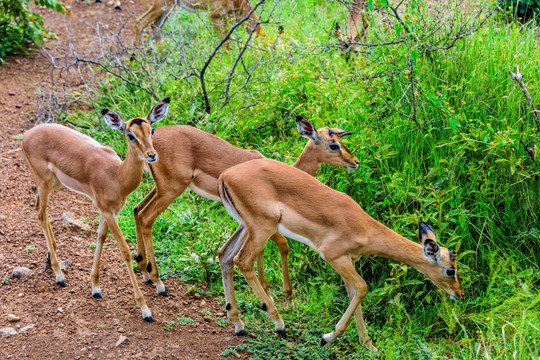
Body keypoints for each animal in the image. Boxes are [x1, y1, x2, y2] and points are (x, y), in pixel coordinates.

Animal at [22, 97, 170, 322]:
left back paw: (50, 256)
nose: (152, 155)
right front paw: (145, 310)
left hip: (55, 183)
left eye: (151, 130)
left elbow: (100, 238)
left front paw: (96, 288)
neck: (116, 175)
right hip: (45, 181)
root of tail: (27, 134)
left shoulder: (108, 211)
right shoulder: (108, 212)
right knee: (40, 213)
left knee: (38, 203)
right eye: (130, 134)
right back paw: (59, 275)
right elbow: (125, 251)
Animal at [132, 116, 358, 302]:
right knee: (146, 217)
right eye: (333, 145)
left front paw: (267, 292)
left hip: (160, 189)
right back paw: (158, 282)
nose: (355, 162)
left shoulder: (249, 223)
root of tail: (150, 144)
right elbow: (282, 245)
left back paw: (144, 271)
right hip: (171, 189)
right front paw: (285, 296)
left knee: (136, 209)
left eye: (341, 141)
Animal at [133, 0, 264, 46]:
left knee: (154, 28)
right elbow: (225, 46)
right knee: (139, 22)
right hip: (162, 5)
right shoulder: (215, 16)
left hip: (169, 8)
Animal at [217, 159, 462, 350]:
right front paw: (327, 337)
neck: (364, 226)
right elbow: (362, 288)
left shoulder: (348, 262)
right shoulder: (334, 258)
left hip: (246, 226)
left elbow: (354, 294)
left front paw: (368, 346)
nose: (459, 294)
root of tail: (225, 176)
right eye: (450, 270)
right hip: (261, 229)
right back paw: (279, 324)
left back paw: (239, 325)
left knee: (225, 255)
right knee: (243, 261)